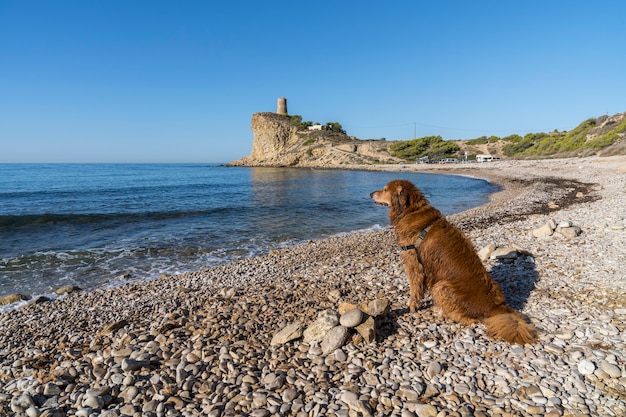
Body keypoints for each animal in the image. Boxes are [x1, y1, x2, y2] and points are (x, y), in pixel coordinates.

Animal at [368, 180, 532, 344]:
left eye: (384, 190)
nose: (370, 194)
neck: (411, 210)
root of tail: (496, 308)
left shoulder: (413, 262)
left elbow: (415, 291)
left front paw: (412, 307)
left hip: (441, 286)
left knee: (469, 320)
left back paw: (440, 312)